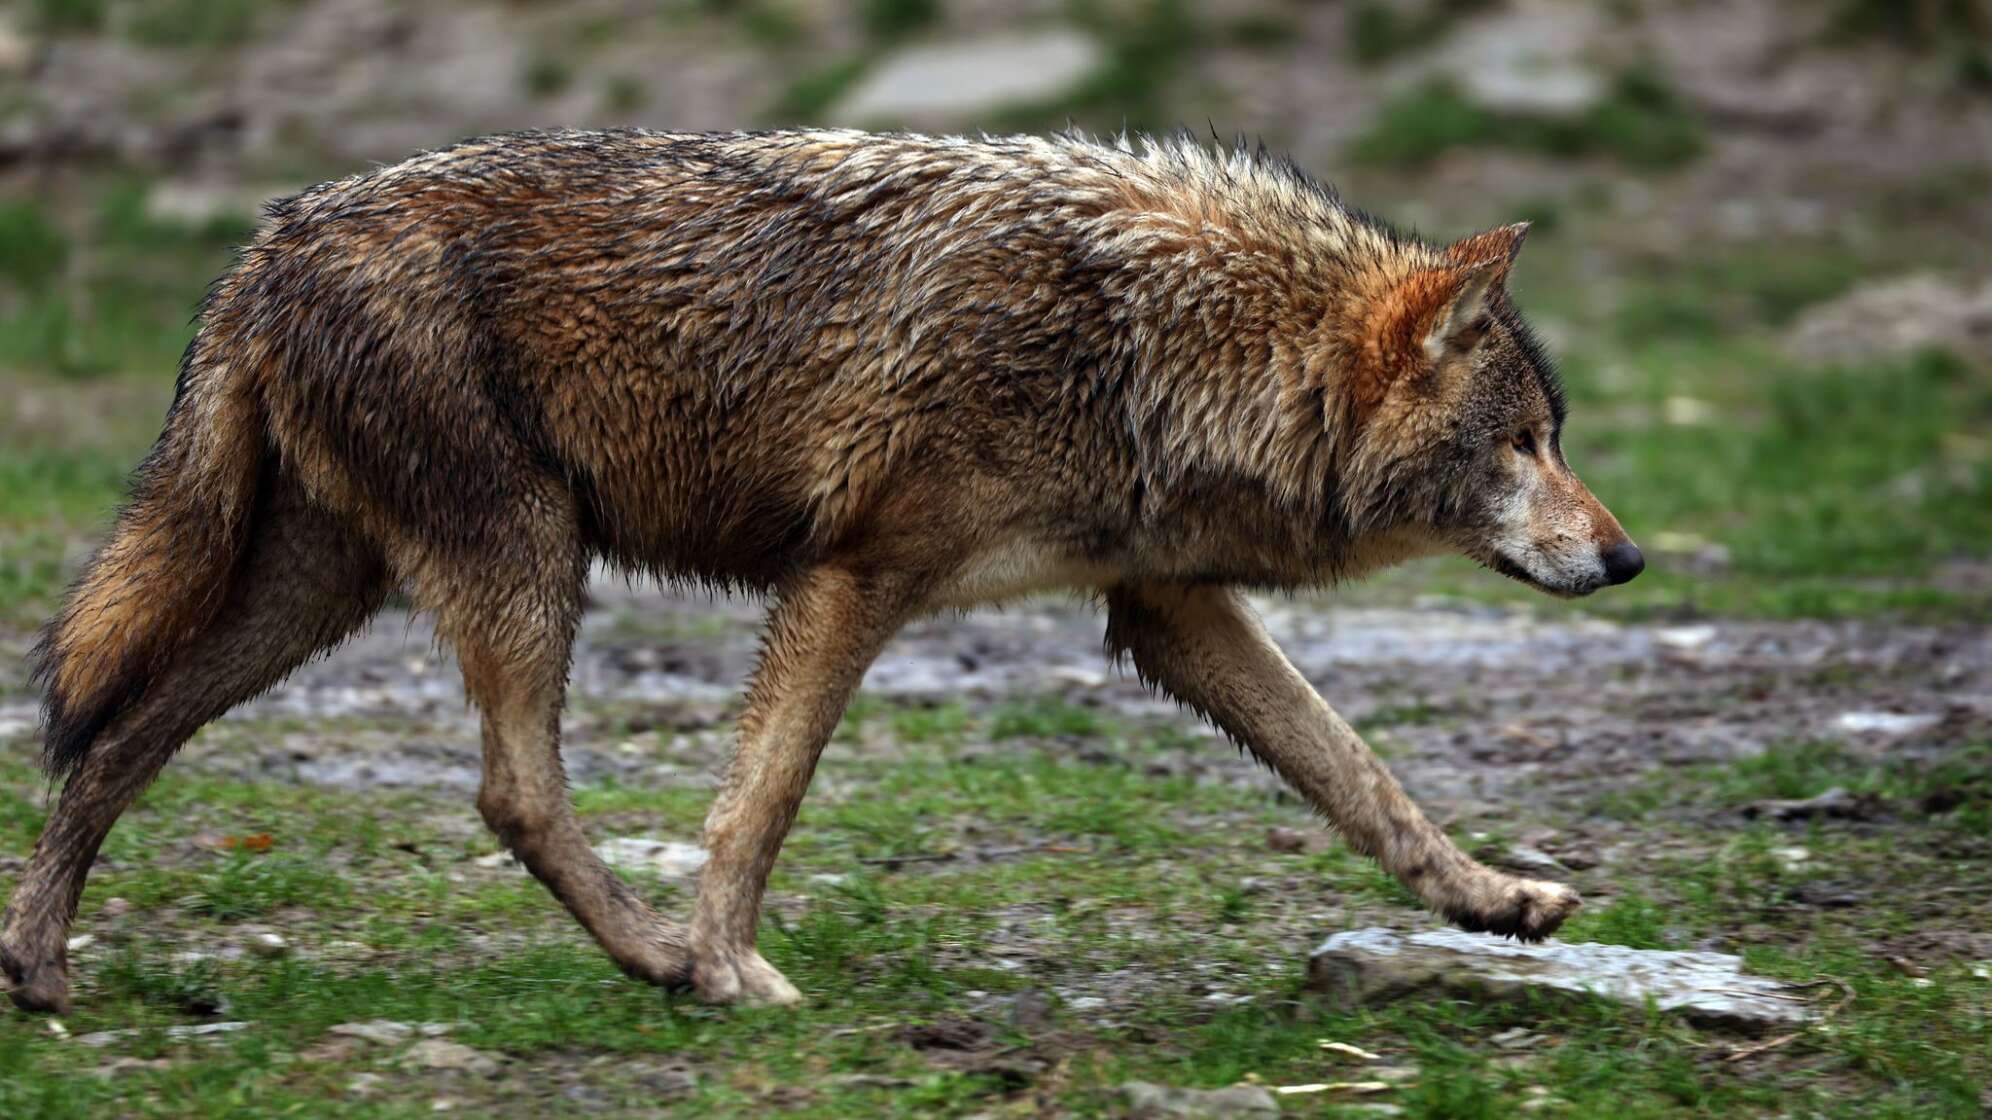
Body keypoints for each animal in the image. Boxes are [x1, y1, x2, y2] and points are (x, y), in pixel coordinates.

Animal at [2, 129, 1642, 1011]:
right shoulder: (855, 577)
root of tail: (261, 243)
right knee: (510, 792)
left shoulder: (1165, 609)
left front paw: (1495, 901)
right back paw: (661, 963)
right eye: (1528, 442)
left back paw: (39, 969)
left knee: (114, 737)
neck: (1159, 341)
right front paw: (730, 969)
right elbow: (762, 803)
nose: (1628, 557)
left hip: (328, 591)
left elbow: (1364, 775)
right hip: (521, 561)